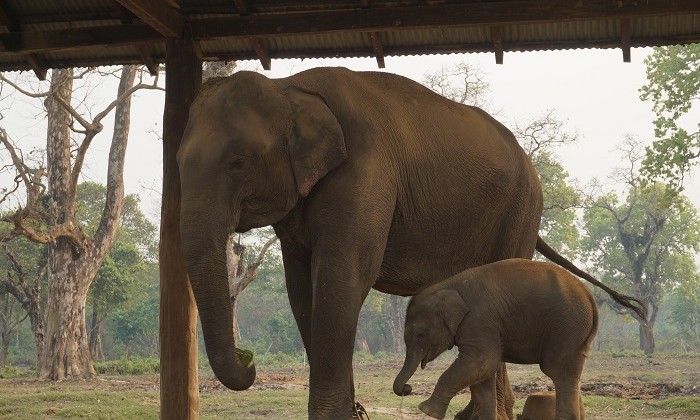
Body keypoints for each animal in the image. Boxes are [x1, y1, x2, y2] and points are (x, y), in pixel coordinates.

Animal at [178, 67, 568, 418]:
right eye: (178, 162)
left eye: (238, 163)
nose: (250, 361)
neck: (288, 87)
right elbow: (301, 291)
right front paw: (352, 413)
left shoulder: (366, 171)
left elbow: (342, 277)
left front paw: (335, 417)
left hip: (521, 210)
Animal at [394, 260, 600, 420]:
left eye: (420, 335)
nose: (406, 389)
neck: (446, 284)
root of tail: (589, 295)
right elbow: (483, 373)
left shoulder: (478, 320)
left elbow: (482, 361)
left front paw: (426, 411)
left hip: (568, 326)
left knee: (558, 371)